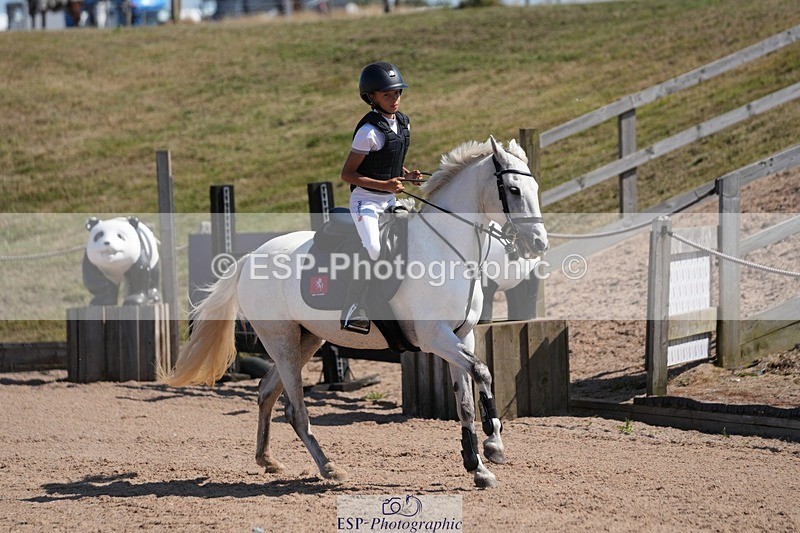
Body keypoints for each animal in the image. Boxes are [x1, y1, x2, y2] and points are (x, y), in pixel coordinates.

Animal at [160, 137, 549, 489]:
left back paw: (267, 460)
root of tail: (248, 259)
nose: (539, 244)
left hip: (307, 339)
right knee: (295, 410)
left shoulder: (460, 335)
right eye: (513, 189)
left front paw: (478, 466)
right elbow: (482, 372)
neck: (446, 250)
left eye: (535, 187)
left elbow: (465, 400)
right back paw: (329, 468)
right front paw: (493, 445)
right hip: (282, 341)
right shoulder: (435, 336)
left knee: (266, 391)